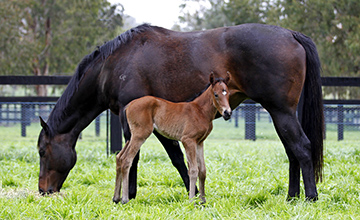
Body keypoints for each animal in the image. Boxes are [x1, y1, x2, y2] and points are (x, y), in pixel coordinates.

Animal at [112, 72, 231, 205]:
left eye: (228, 93)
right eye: (216, 94)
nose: (227, 113)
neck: (199, 110)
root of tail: (129, 105)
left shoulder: (199, 142)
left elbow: (202, 170)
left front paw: (203, 200)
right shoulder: (188, 140)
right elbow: (193, 170)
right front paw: (192, 200)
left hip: (132, 137)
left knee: (119, 157)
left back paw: (116, 198)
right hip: (140, 135)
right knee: (127, 159)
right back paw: (125, 199)